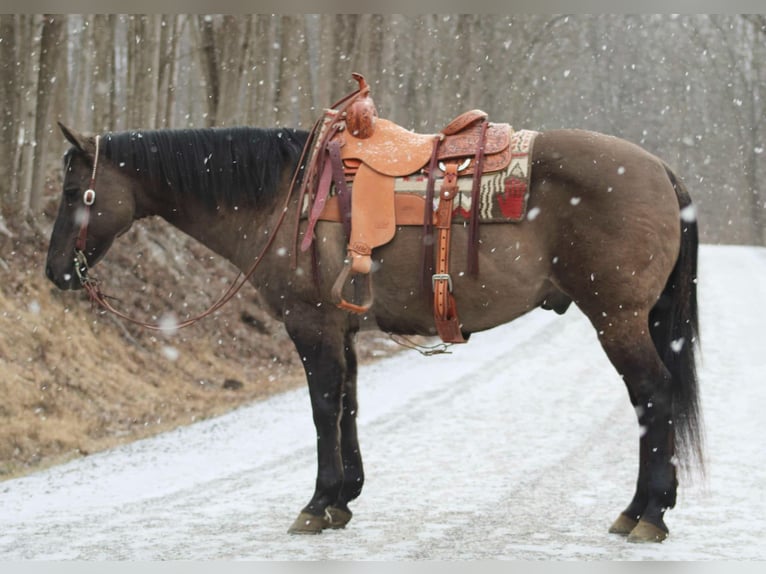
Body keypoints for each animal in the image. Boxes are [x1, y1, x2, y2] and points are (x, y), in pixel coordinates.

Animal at [45, 117, 704, 544]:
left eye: (77, 191)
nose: (56, 272)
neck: (285, 197)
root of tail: (661, 170)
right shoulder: (342, 329)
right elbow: (349, 405)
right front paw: (344, 499)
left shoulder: (311, 324)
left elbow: (322, 408)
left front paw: (317, 503)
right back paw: (642, 509)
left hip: (617, 319)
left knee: (653, 396)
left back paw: (648, 514)